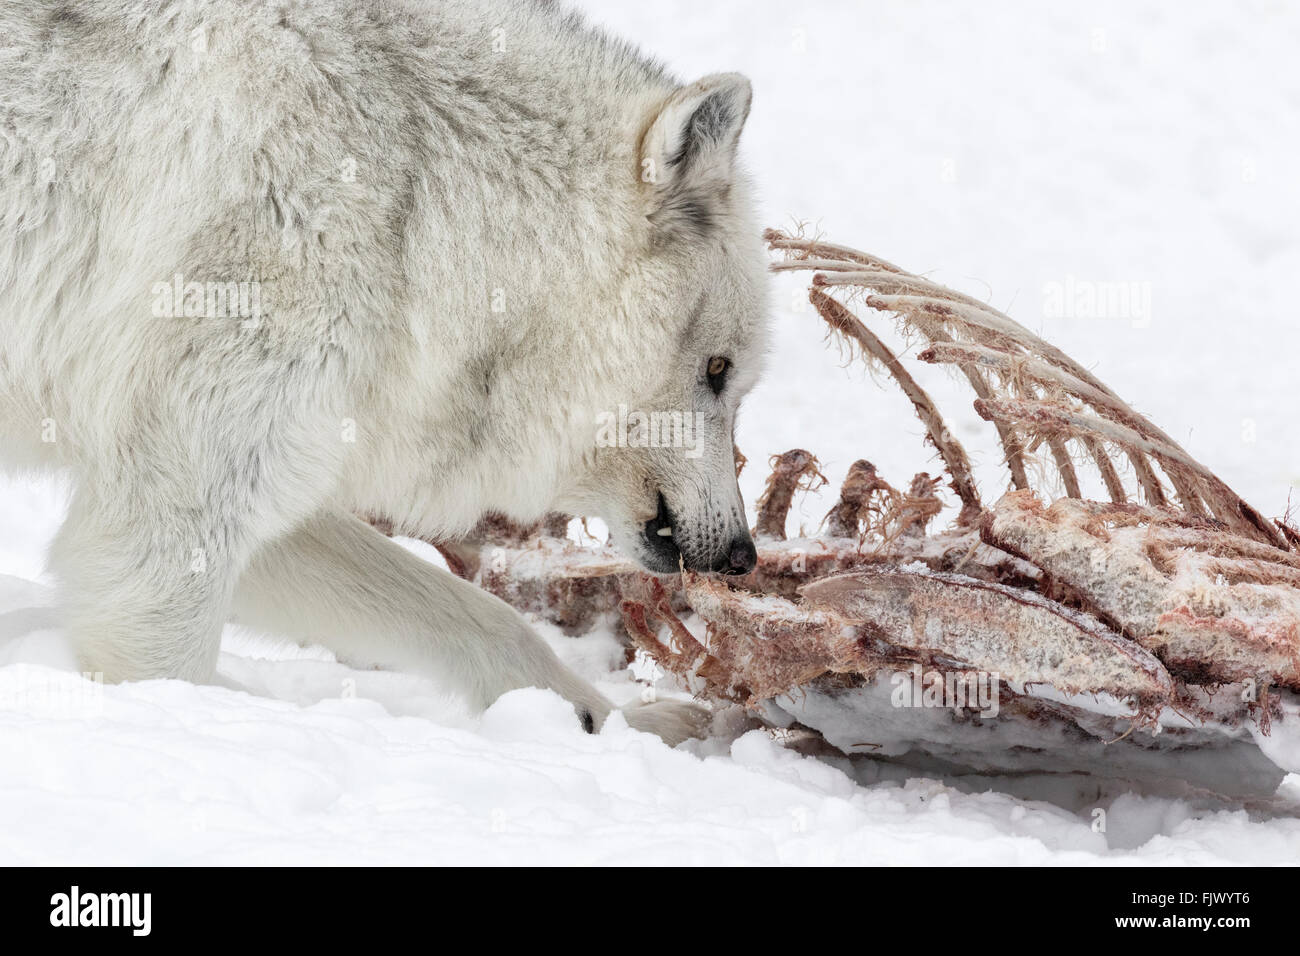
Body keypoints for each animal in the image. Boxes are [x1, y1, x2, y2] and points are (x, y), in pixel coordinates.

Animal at [0, 0, 769, 744]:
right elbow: (164, 668)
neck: (422, 198)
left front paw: (615, 726)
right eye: (718, 368)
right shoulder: (169, 513)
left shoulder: (265, 485)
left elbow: (488, 621)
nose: (742, 556)